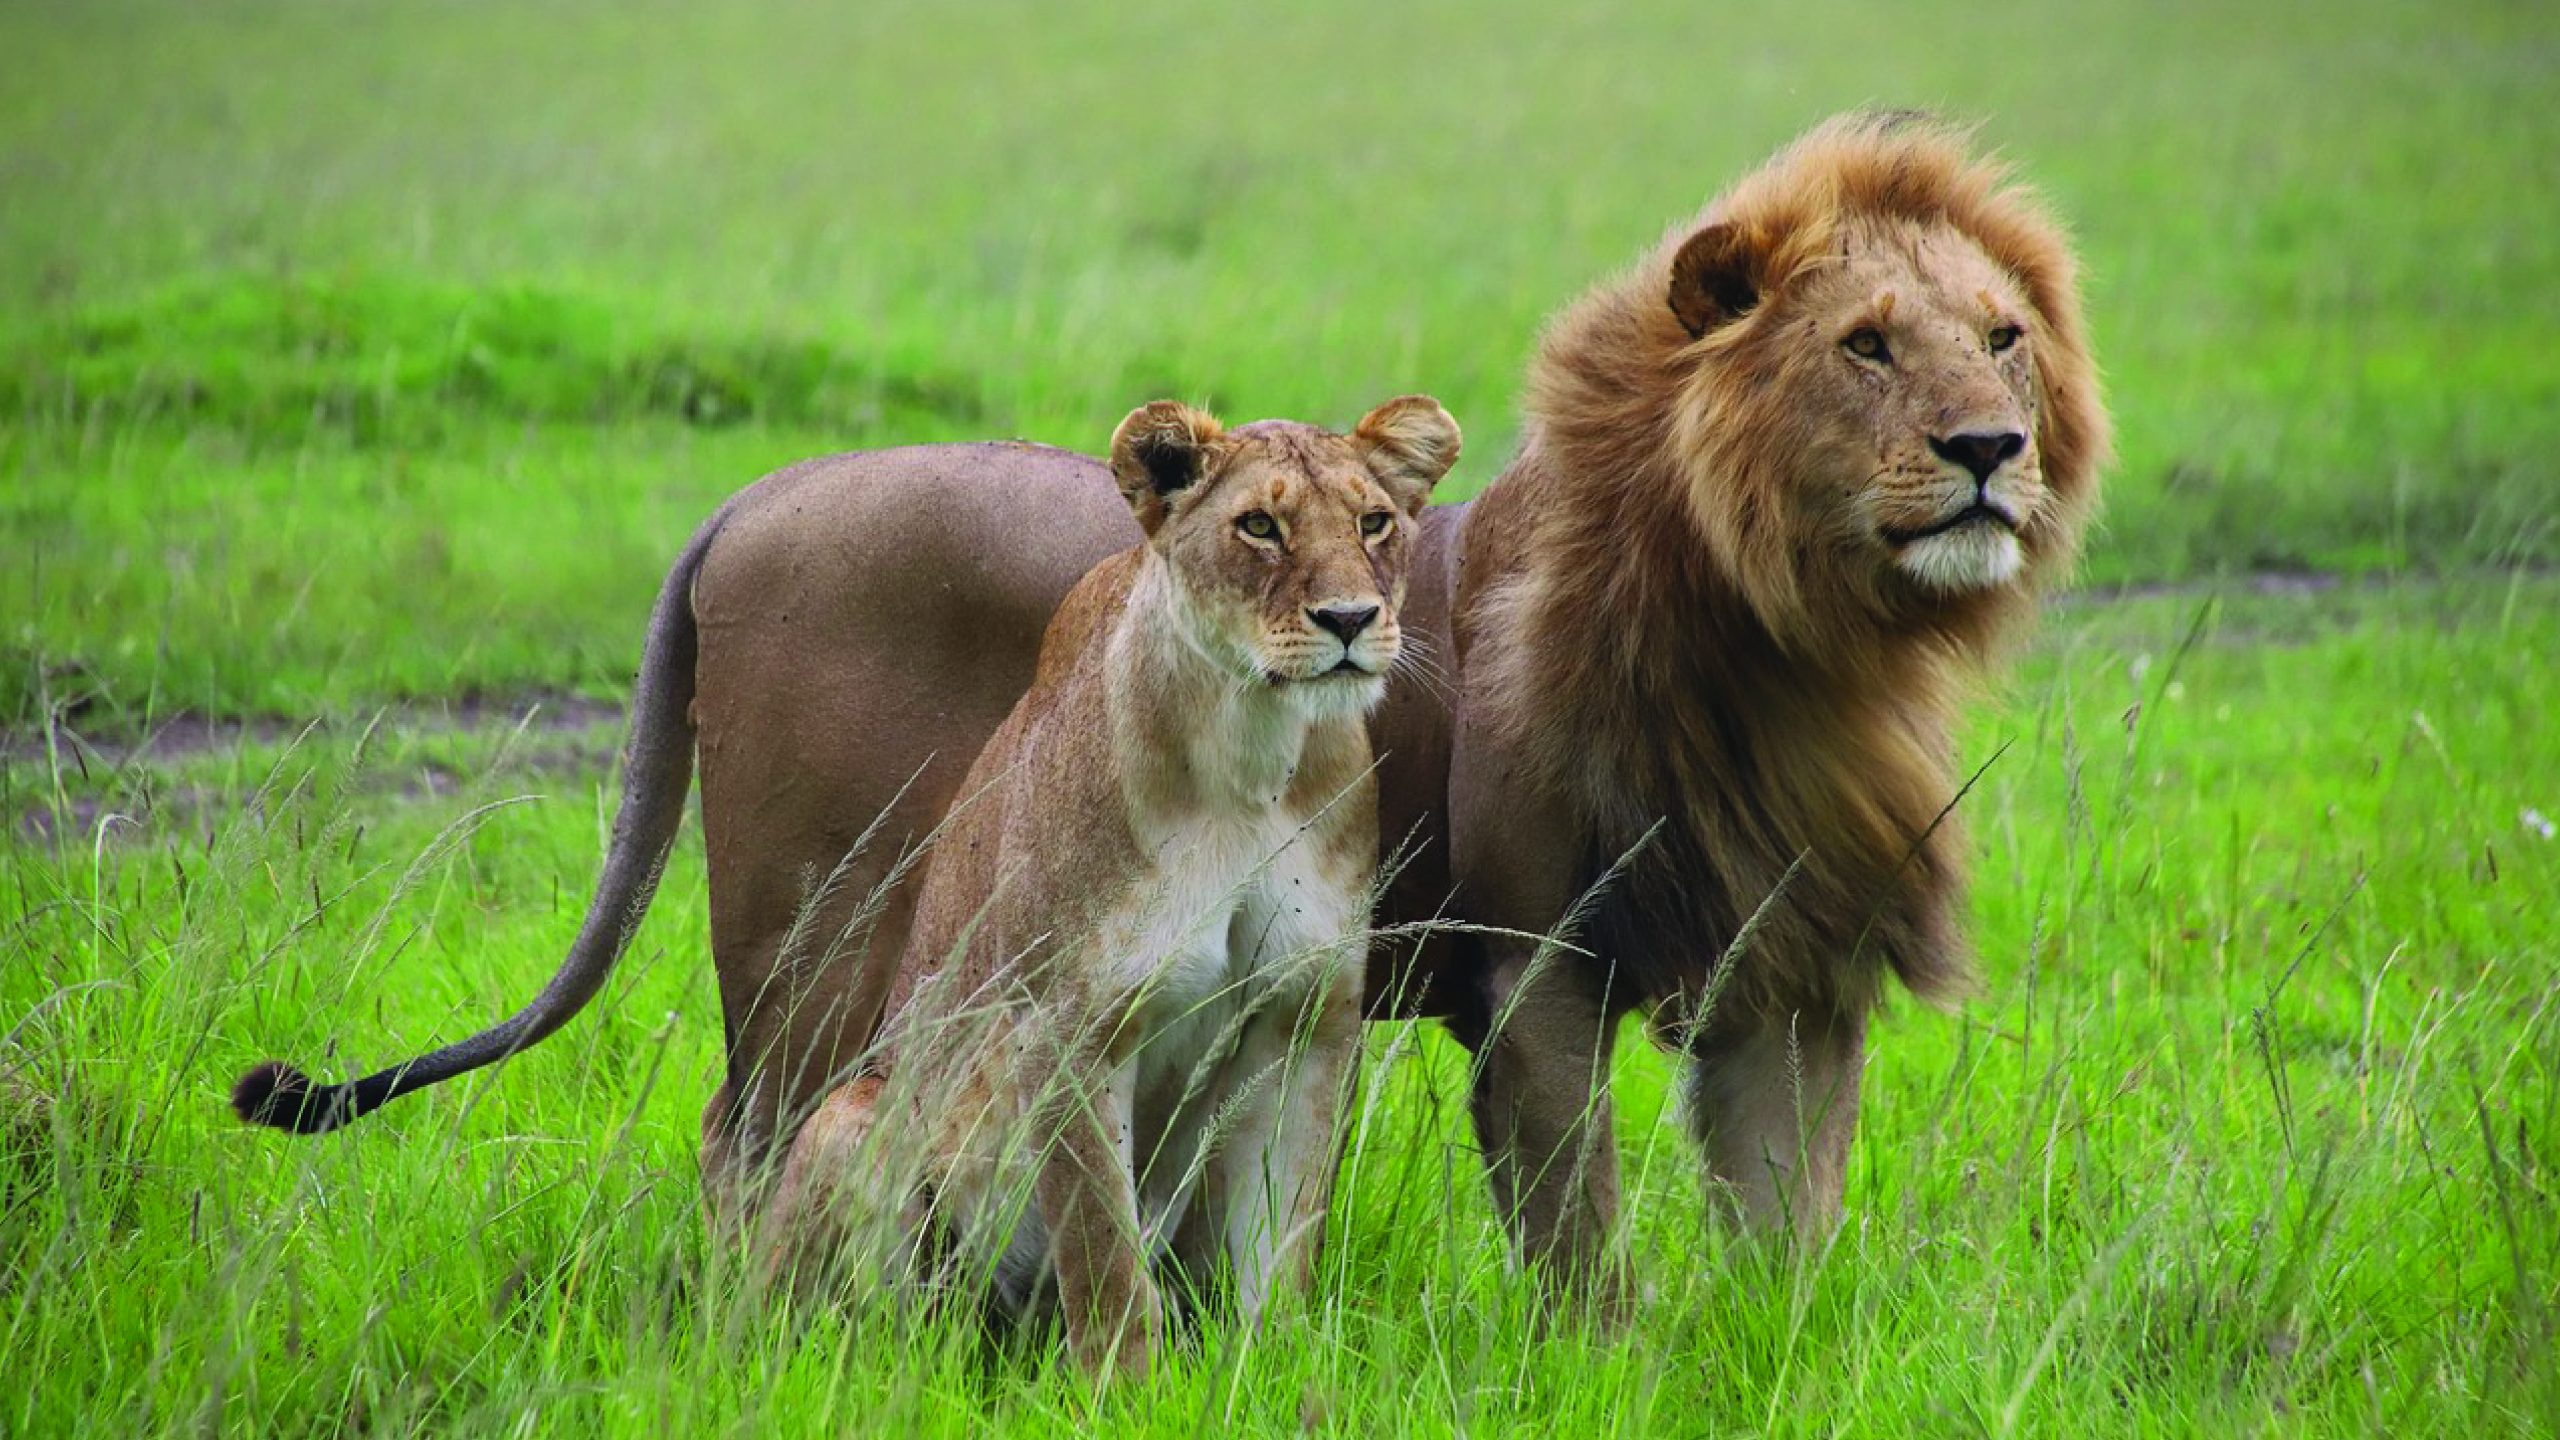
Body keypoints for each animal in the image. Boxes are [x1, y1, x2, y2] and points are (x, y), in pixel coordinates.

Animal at [233, 112, 2104, 1315]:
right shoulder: (1534, 967)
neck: (1801, 640)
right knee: (749, 1139)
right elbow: (1579, 1239)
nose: (1989, 452)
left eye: (2004, 337)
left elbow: (1786, 1235)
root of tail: (754, 495)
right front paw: (1609, 1363)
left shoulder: (1791, 973)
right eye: (1868, 346)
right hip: (818, 940)